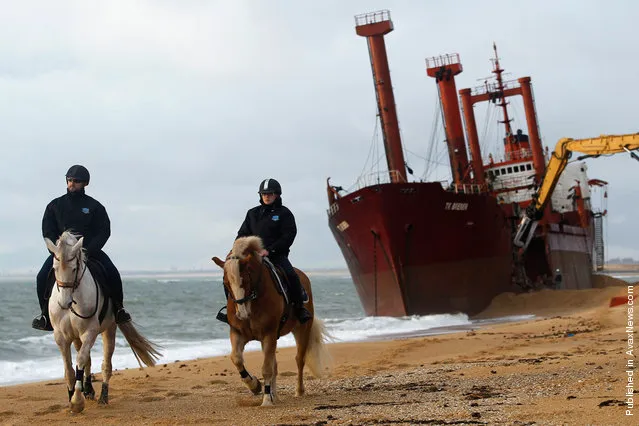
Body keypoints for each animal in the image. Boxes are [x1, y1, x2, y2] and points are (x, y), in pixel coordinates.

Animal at [44, 231, 161, 414]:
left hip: (109, 329)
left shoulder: (90, 332)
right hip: (77, 337)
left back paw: (103, 397)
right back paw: (89, 390)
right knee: (88, 360)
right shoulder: (61, 337)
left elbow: (80, 360)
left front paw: (77, 401)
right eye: (55, 268)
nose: (64, 303)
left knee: (106, 364)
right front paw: (72, 398)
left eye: (74, 268)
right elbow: (69, 369)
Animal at [212, 236, 332, 406]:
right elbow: (237, 359)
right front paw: (255, 385)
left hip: (302, 330)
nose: (242, 314)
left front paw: (267, 399)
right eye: (226, 283)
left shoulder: (268, 334)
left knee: (299, 359)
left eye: (246, 279)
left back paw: (298, 391)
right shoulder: (238, 333)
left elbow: (267, 368)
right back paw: (275, 394)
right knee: (275, 364)